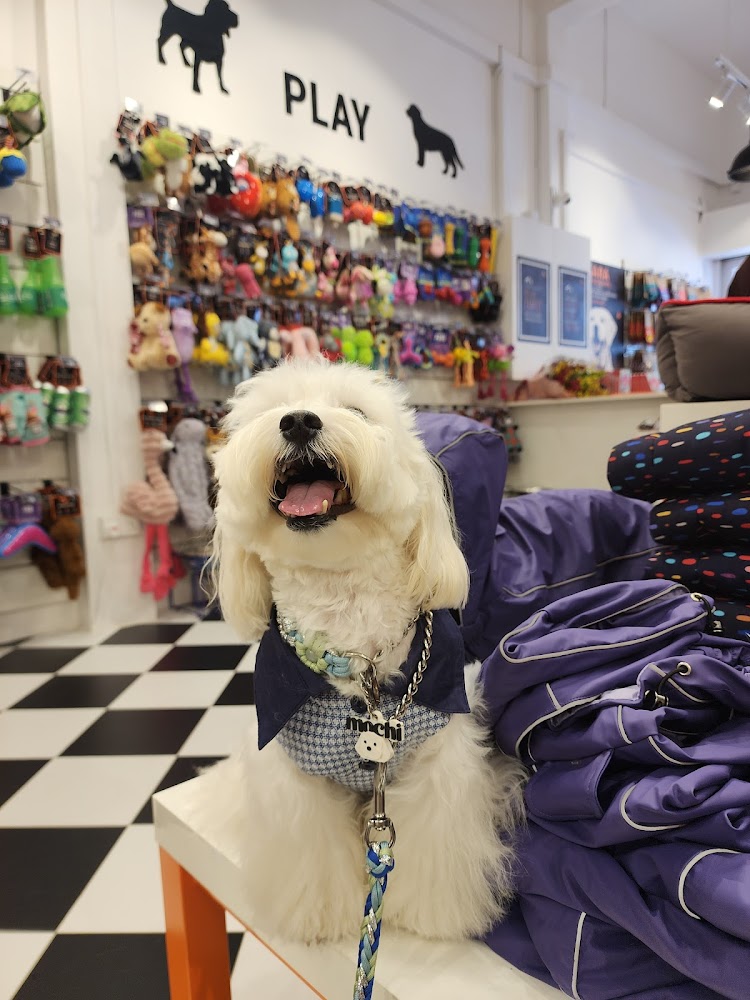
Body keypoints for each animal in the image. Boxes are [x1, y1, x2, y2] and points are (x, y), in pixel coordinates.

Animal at [194, 358, 525, 944]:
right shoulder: (293, 771)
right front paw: (325, 917)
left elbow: (435, 847)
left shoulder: (440, 762)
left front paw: (429, 916)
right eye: (269, 412)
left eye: (356, 411)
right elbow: (312, 853)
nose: (299, 421)